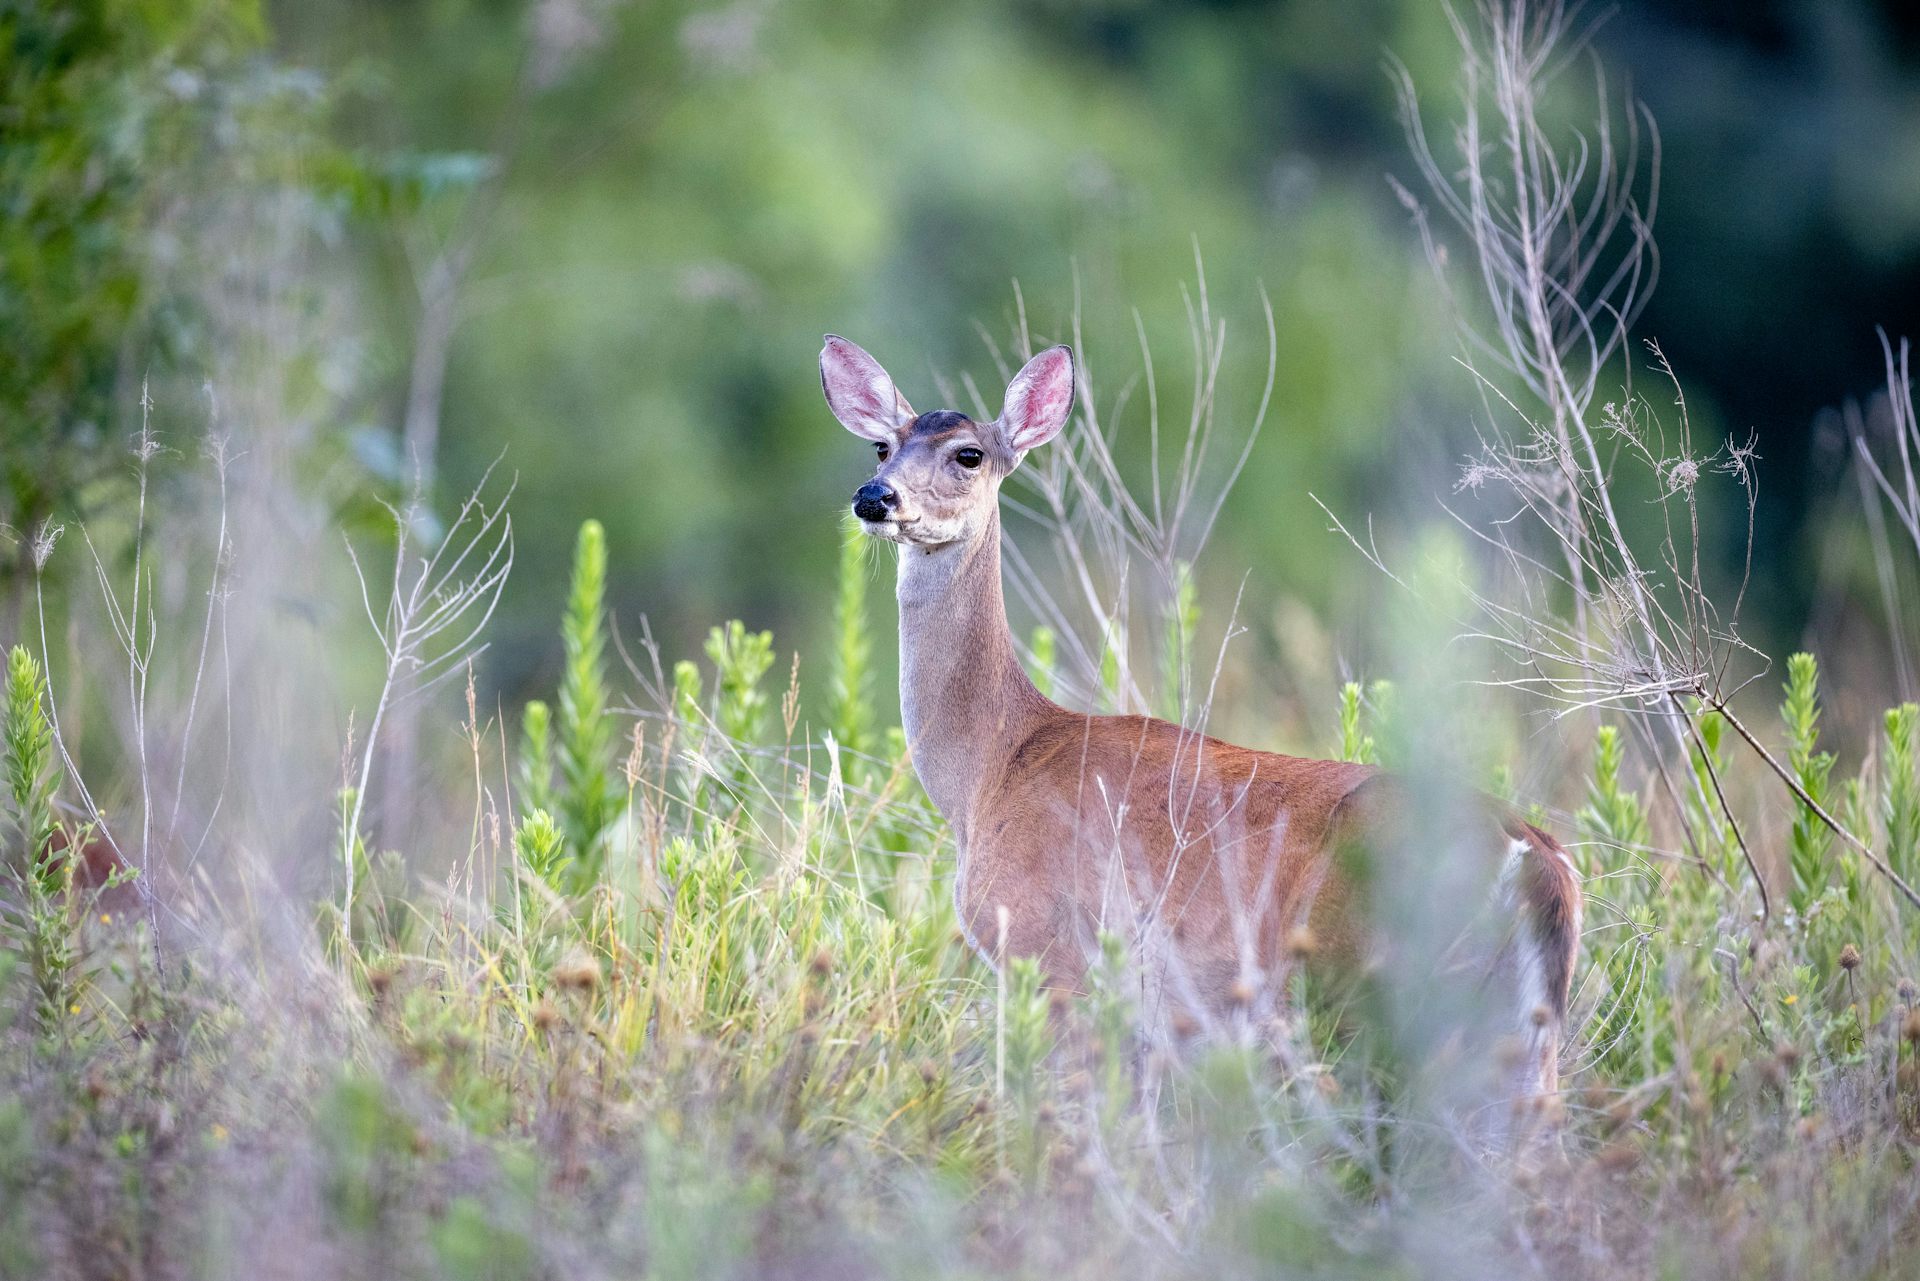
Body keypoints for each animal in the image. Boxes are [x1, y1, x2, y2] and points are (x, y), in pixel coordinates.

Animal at [819, 334, 1582, 1104]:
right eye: (882, 446)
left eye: (968, 453)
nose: (874, 496)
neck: (992, 766)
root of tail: (1537, 859)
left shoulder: (1049, 952)